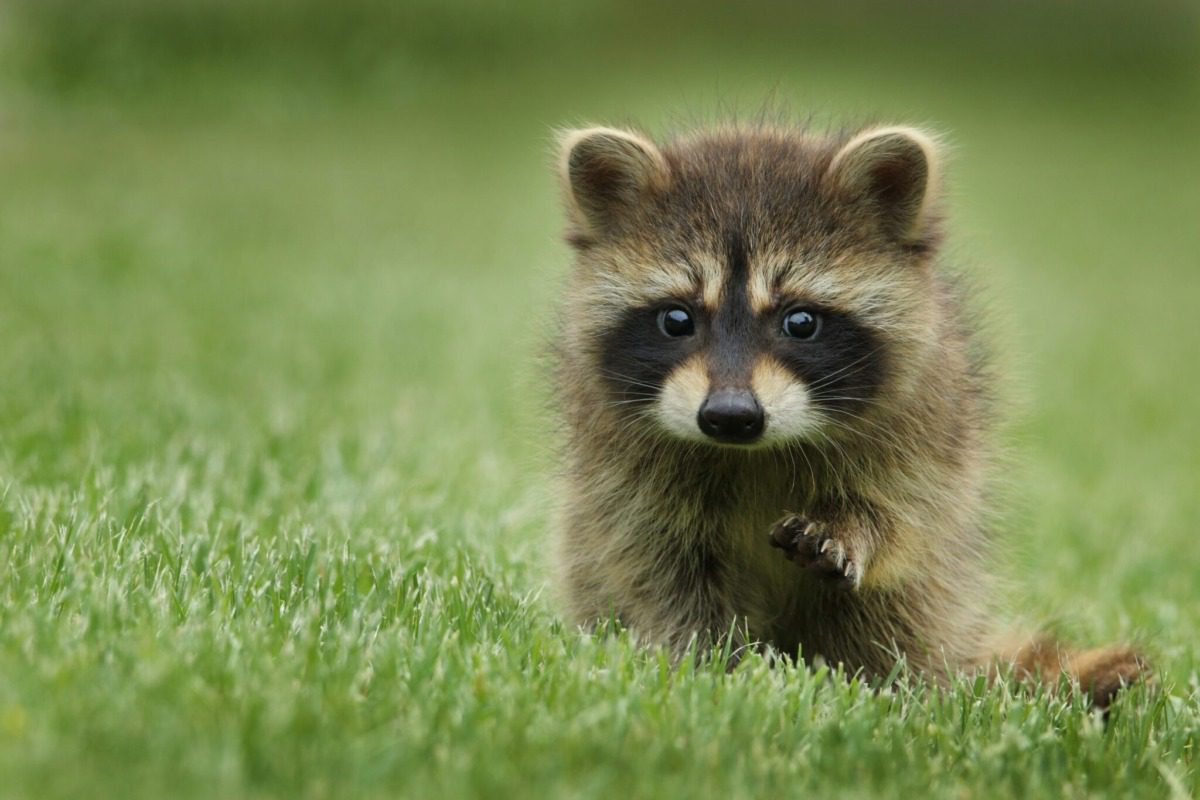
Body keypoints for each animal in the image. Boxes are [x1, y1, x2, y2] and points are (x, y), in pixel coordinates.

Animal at [549, 121, 1147, 706]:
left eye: (800, 322)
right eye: (677, 319)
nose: (730, 415)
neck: (754, 452)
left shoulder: (928, 423)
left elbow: (904, 515)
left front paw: (853, 528)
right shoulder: (623, 469)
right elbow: (659, 566)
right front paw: (711, 664)